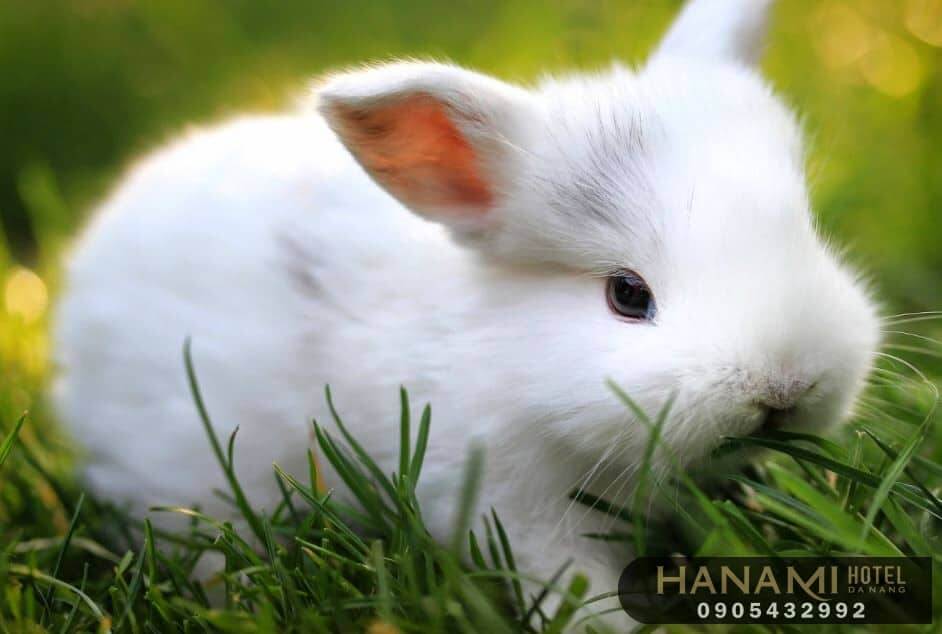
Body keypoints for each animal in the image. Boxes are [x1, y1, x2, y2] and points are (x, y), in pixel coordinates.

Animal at [53, 0, 880, 629]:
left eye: (806, 231)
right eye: (627, 294)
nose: (785, 387)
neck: (507, 356)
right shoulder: (511, 507)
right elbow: (572, 584)